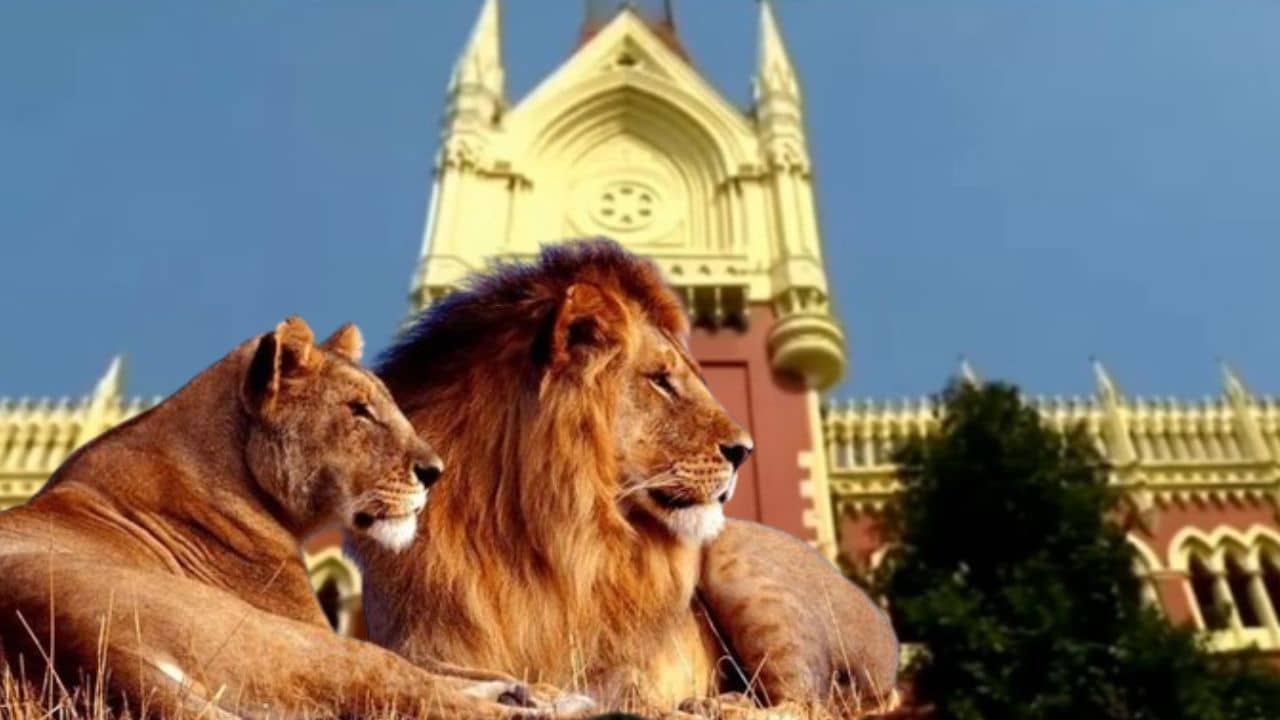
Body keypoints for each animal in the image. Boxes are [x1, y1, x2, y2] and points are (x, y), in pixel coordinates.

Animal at [0, 317, 572, 718]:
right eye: (358, 409)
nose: (436, 472)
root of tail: (80, 648)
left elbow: (450, 664)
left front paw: (528, 686)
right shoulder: (313, 625)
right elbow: (431, 670)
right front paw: (535, 690)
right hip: (285, 640)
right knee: (412, 695)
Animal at [353, 239, 899, 716]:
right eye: (660, 380)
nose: (744, 451)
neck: (528, 533)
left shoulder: (617, 664)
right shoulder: (411, 637)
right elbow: (409, 669)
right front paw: (514, 692)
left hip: (739, 563)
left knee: (806, 703)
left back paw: (713, 706)